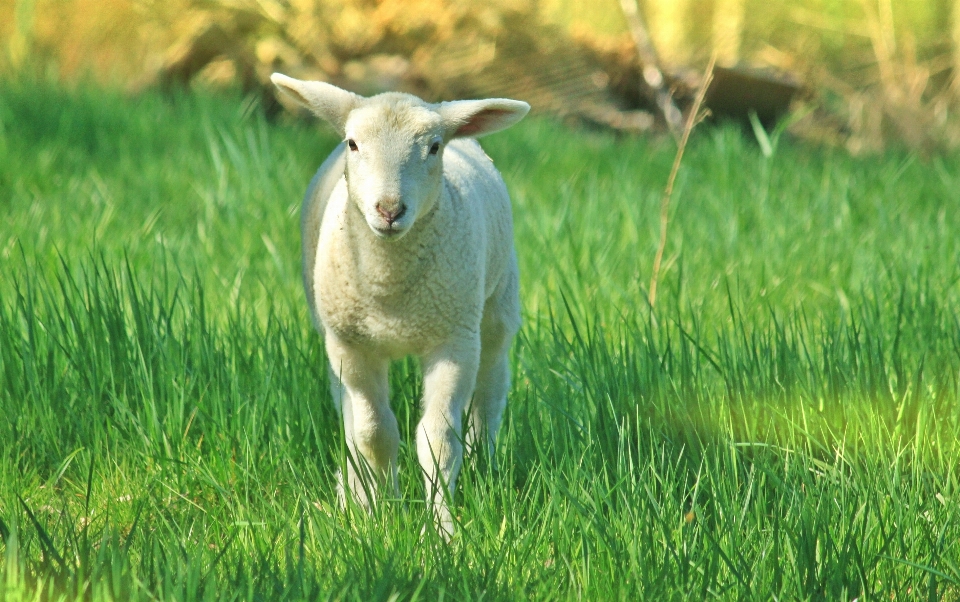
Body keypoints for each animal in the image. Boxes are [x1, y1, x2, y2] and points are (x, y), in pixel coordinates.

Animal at [266, 72, 528, 532]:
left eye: (434, 147)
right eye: (353, 144)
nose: (389, 209)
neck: (390, 291)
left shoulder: (452, 341)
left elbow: (437, 441)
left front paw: (442, 529)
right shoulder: (351, 345)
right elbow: (374, 434)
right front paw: (379, 513)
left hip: (495, 307)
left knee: (491, 390)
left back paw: (484, 465)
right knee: (349, 415)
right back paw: (352, 491)